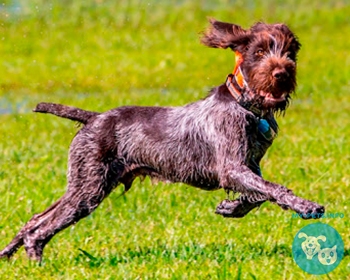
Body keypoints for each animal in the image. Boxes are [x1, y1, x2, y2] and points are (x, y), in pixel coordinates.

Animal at [0, 18, 324, 262]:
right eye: (258, 52)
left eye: (290, 52)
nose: (282, 73)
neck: (247, 106)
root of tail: (94, 118)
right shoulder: (232, 167)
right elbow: (272, 189)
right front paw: (306, 206)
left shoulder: (250, 165)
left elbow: (258, 195)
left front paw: (230, 208)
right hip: (89, 188)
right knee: (41, 228)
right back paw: (36, 260)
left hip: (84, 183)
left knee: (36, 218)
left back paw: (9, 253)